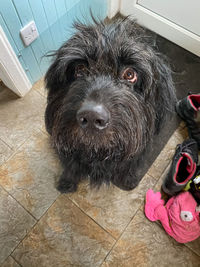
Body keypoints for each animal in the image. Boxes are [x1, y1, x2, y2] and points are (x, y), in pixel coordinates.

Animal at [44, 16, 176, 194]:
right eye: (80, 68)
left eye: (130, 74)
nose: (91, 117)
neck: (98, 153)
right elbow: (71, 167)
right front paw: (67, 182)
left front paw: (128, 180)